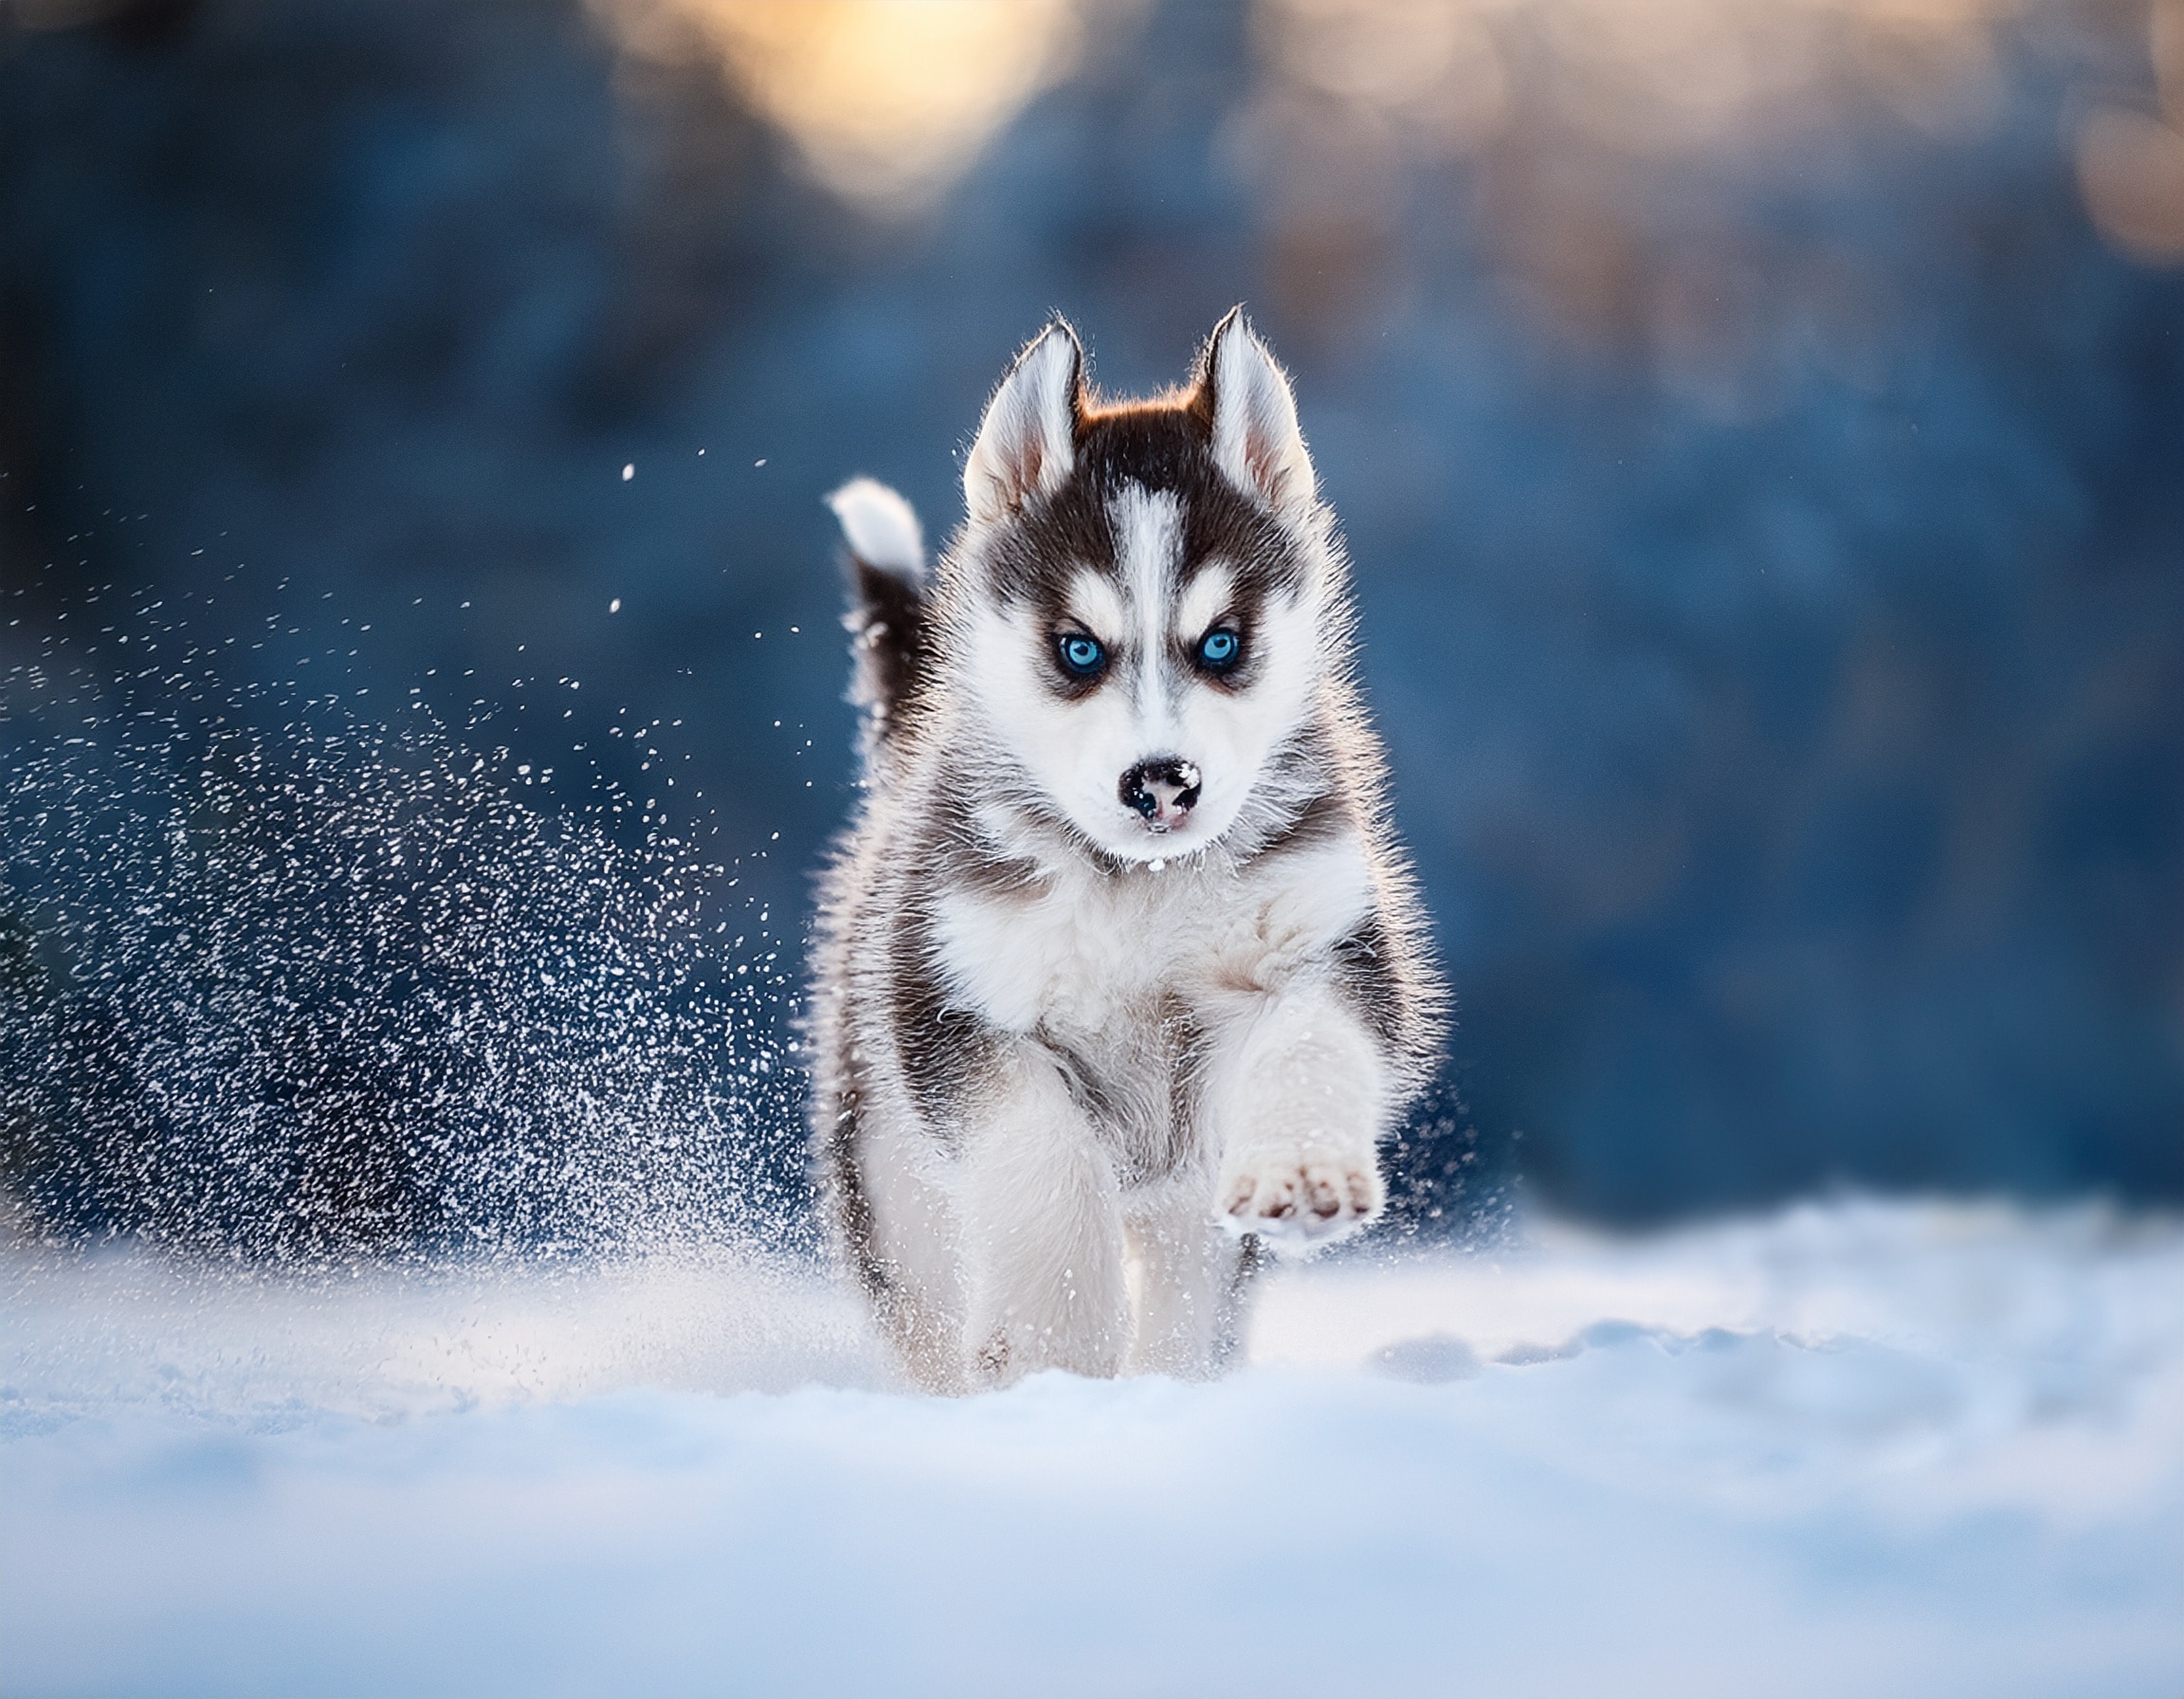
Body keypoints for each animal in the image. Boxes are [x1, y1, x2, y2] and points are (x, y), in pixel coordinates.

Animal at [812, 310, 1441, 1379]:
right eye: (1079, 650)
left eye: (1222, 643)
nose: (1162, 782)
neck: (1140, 886)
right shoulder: (957, 1006)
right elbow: (1047, 1161)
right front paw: (1054, 1348)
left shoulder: (1328, 942)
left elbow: (1312, 1042)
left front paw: (1303, 1169)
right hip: (894, 1186)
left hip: (1186, 1211)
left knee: (1189, 1293)